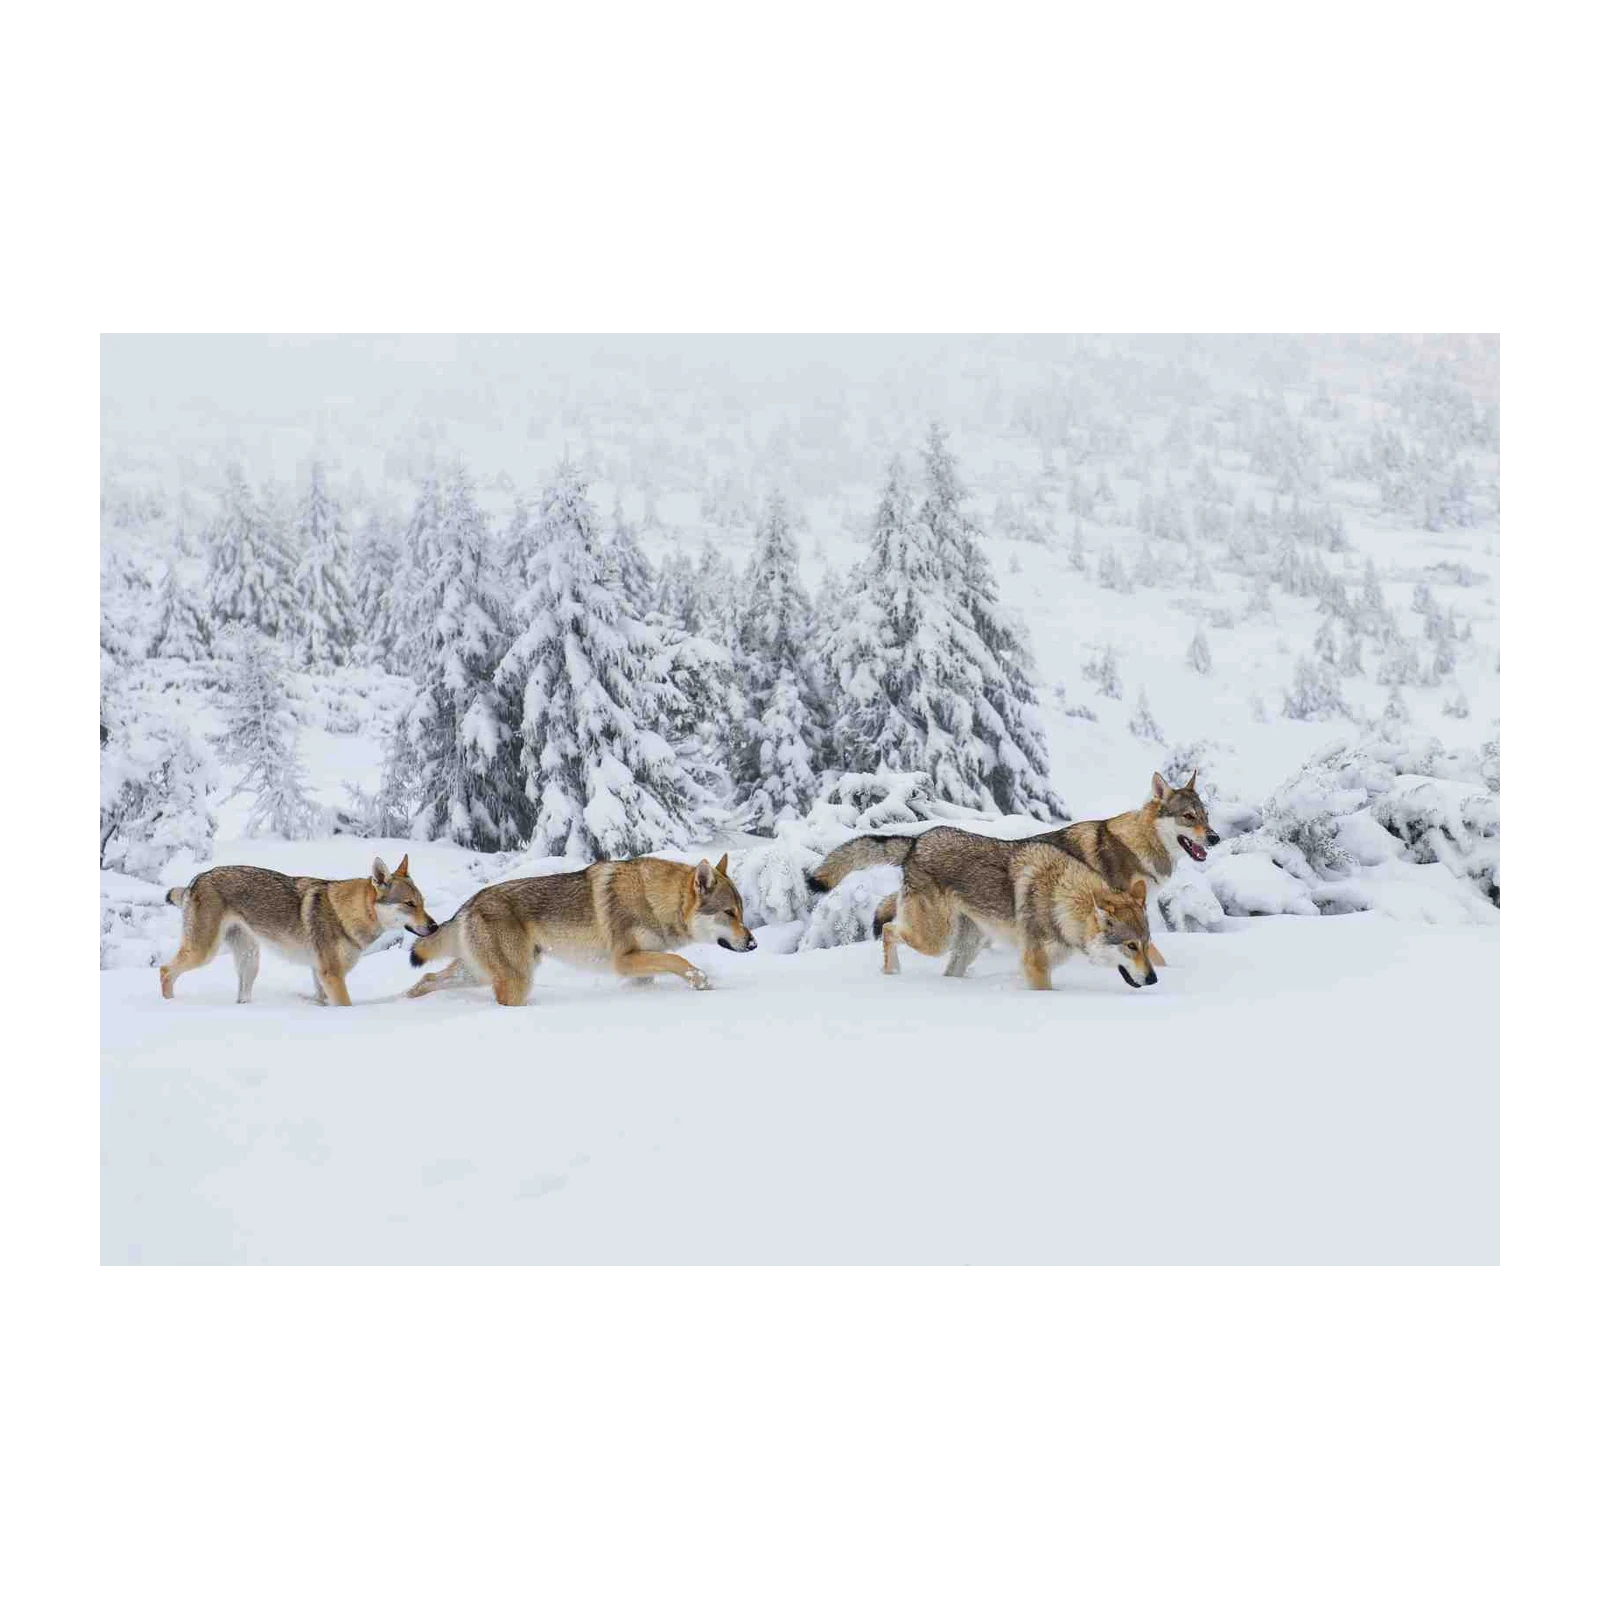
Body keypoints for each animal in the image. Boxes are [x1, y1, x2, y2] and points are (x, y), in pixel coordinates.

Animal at [161, 856, 437, 1005]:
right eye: (409, 904)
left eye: (422, 903)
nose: (434, 926)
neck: (345, 914)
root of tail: (197, 879)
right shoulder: (332, 975)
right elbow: (346, 1005)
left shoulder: (320, 975)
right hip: (203, 953)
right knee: (165, 970)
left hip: (250, 961)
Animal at [405, 853, 756, 1006]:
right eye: (729, 913)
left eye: (742, 912)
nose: (753, 944)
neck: (654, 899)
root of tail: (468, 904)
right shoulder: (623, 960)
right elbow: (679, 961)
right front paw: (702, 982)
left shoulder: (640, 965)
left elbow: (663, 968)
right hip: (517, 979)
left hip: (479, 973)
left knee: (427, 978)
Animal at [806, 828, 1157, 990]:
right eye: (1130, 946)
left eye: (1147, 944)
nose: (1154, 980)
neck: (1063, 898)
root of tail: (917, 841)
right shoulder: (1035, 965)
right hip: (936, 940)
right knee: (890, 930)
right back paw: (892, 973)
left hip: (966, 946)